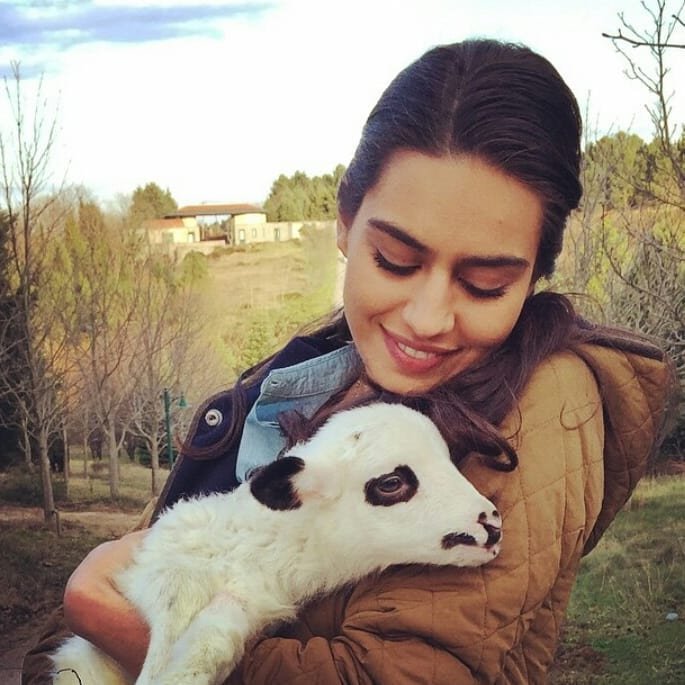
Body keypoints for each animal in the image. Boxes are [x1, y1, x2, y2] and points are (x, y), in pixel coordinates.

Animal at [51, 402, 502, 685]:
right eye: (391, 483)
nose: (493, 525)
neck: (255, 550)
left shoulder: (250, 602)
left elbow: (213, 641)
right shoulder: (161, 570)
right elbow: (171, 620)